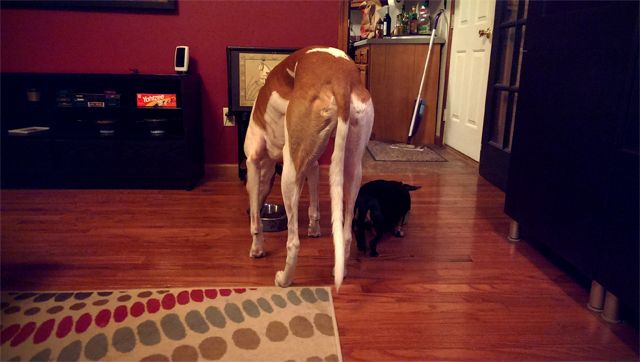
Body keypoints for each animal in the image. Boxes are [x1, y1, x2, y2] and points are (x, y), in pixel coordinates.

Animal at [245, 45, 376, 290]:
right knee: (346, 234)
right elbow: (314, 204)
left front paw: (257, 248)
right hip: (352, 167)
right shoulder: (312, 164)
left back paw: (284, 279)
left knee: (293, 242)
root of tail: (341, 74)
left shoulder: (253, 162)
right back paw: (340, 269)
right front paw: (314, 230)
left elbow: (256, 222)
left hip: (289, 172)